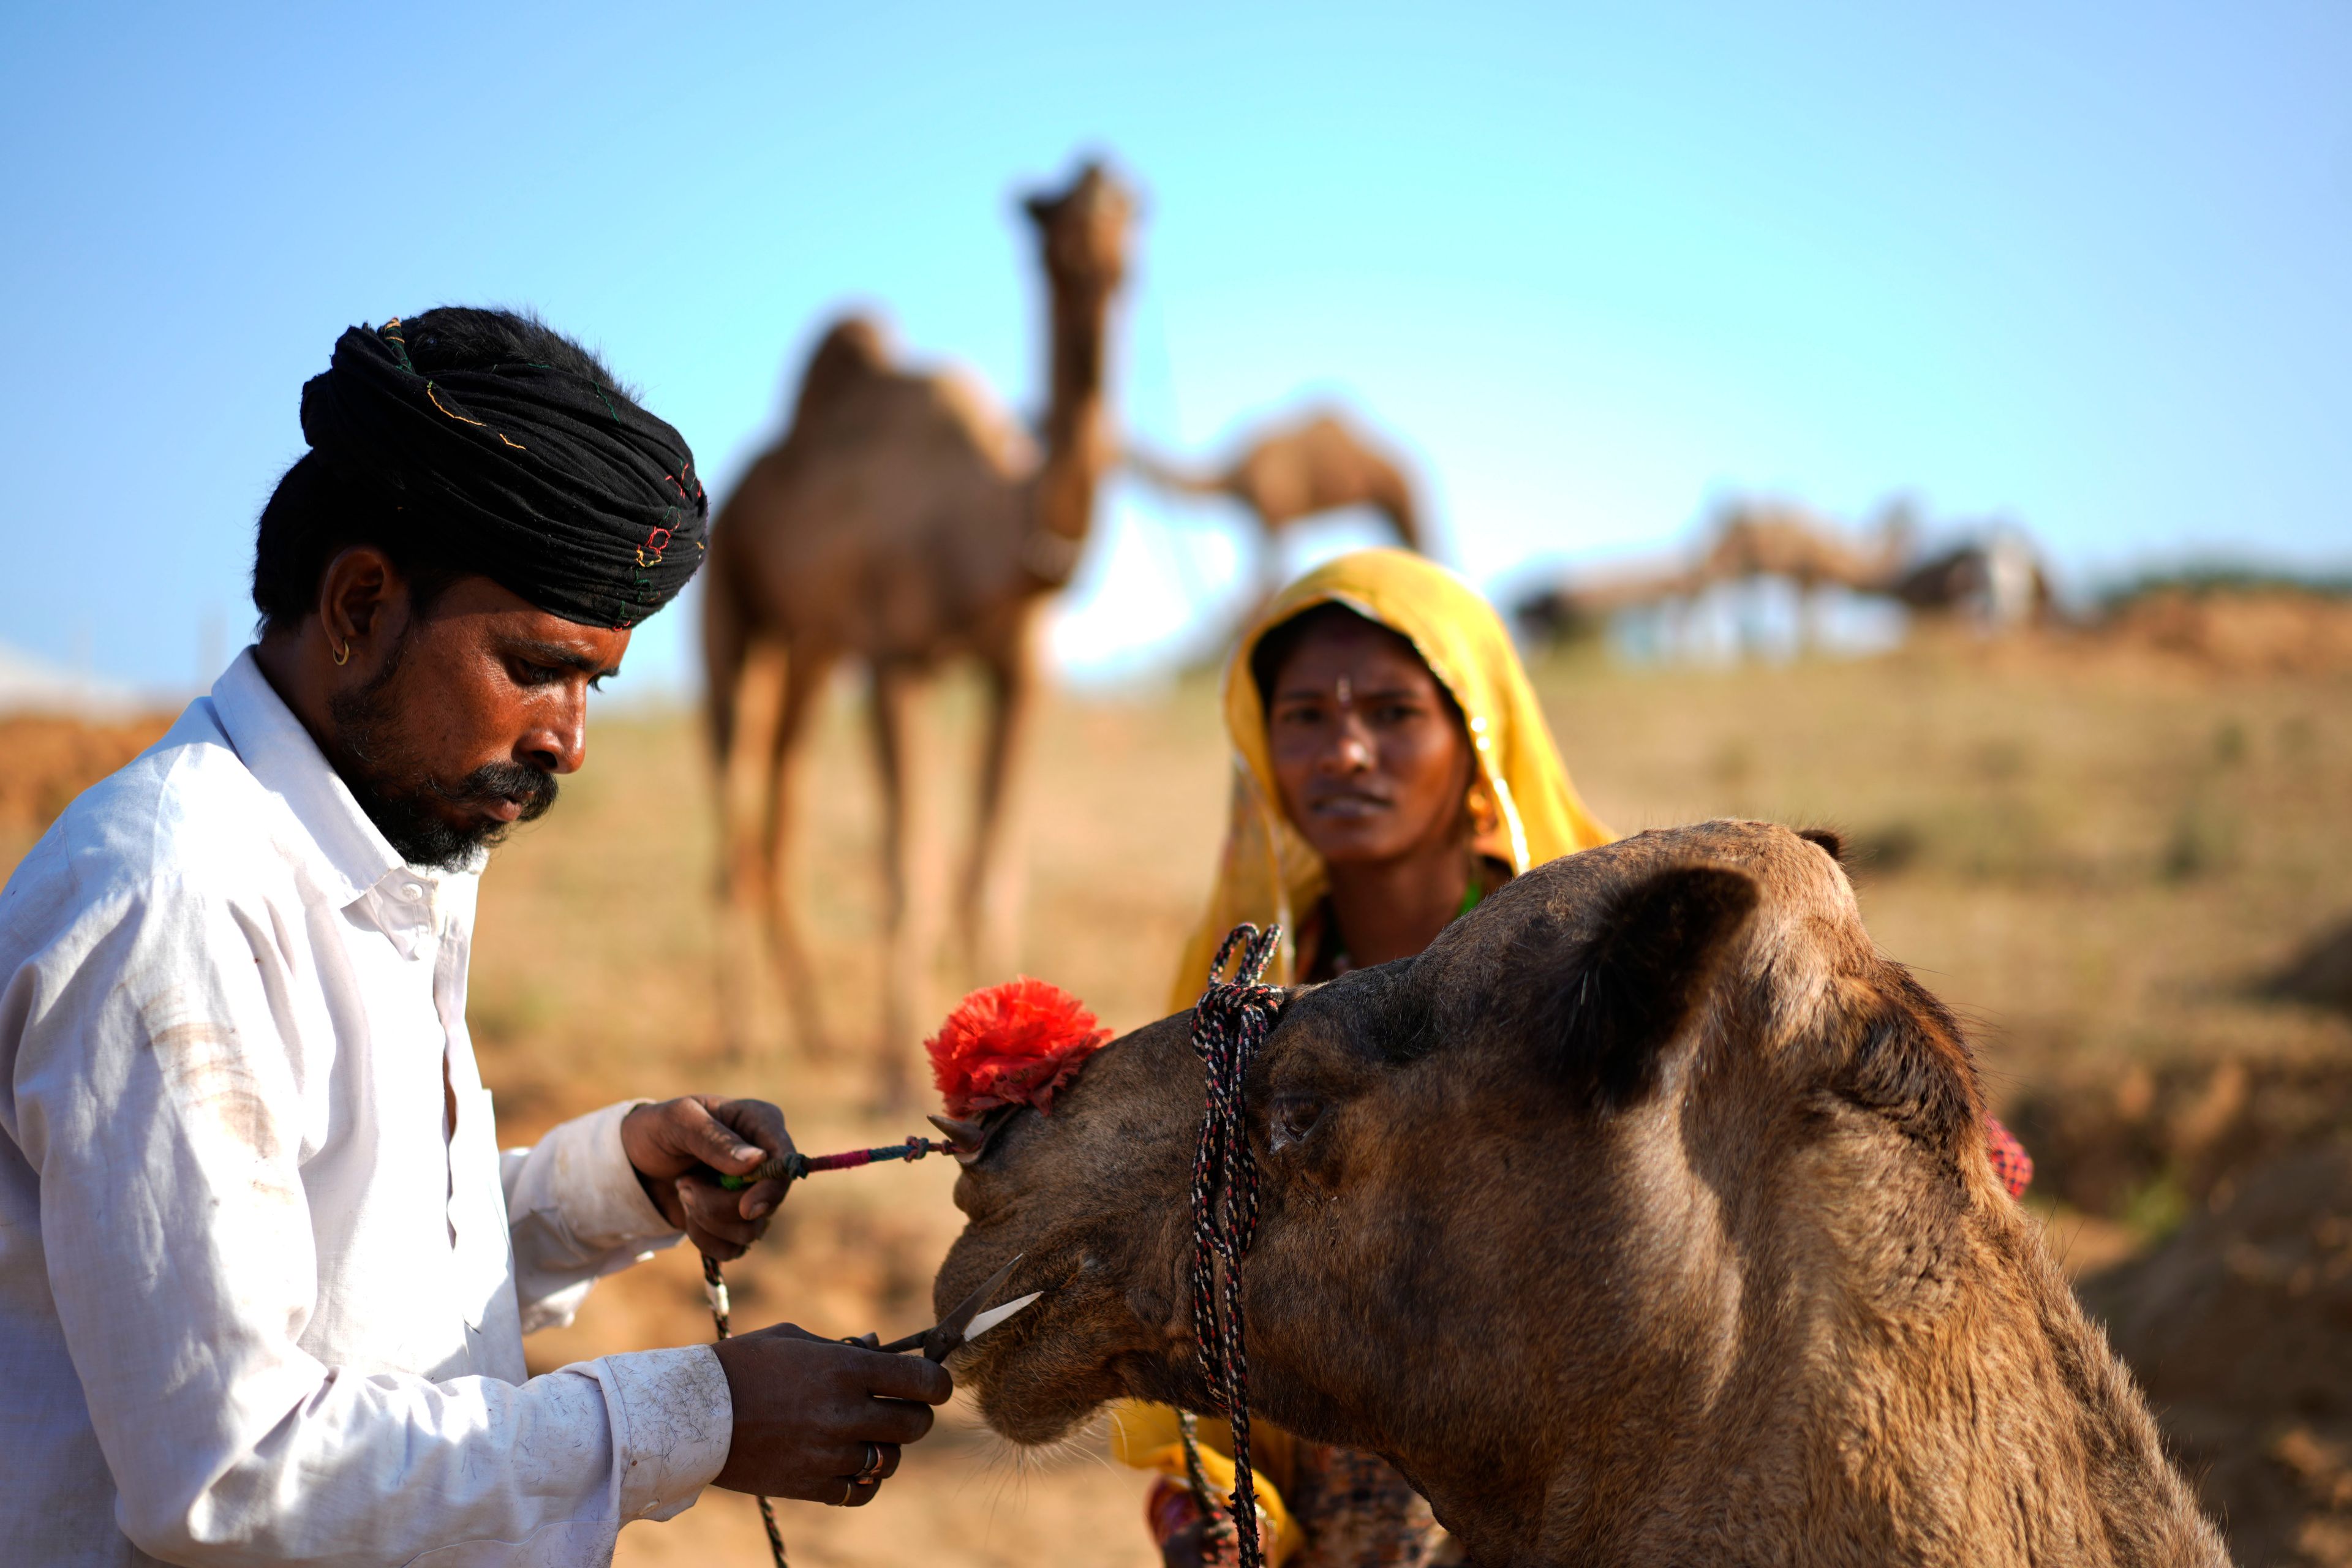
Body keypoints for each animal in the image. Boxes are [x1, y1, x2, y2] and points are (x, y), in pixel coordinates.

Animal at [701, 156, 1133, 1090]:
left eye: (1131, 206)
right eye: (1050, 218)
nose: (1103, 257)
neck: (992, 532)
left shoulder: (1020, 673)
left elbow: (992, 867)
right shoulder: (897, 660)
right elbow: (909, 868)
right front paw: (894, 1071)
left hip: (815, 647)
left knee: (783, 793)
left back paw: (811, 1031)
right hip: (730, 603)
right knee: (734, 792)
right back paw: (739, 1035)